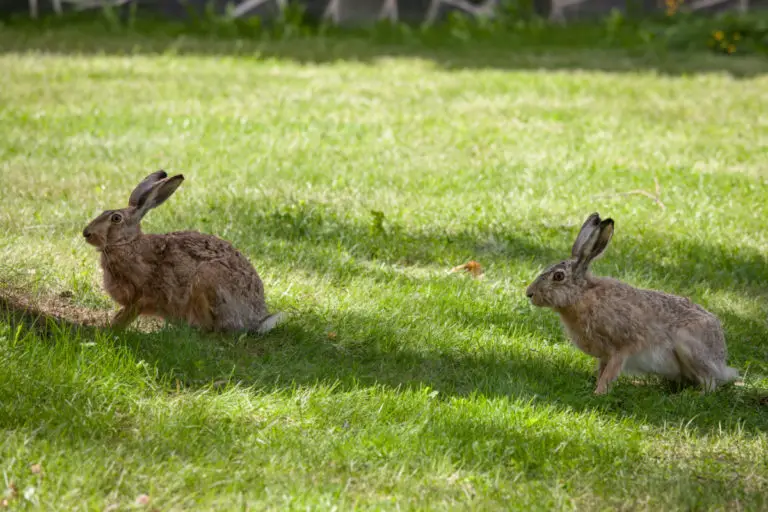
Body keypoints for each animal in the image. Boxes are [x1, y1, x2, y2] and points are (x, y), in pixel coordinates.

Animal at [82, 170, 284, 334]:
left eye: (116, 218)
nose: (86, 233)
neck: (128, 243)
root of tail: (254, 320)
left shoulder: (143, 295)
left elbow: (128, 314)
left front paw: (110, 329)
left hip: (207, 280)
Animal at [525, 212, 739, 395]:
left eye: (558, 276)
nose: (529, 293)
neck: (582, 295)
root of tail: (721, 360)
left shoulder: (622, 347)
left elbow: (610, 373)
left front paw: (598, 393)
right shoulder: (604, 355)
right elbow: (602, 371)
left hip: (690, 347)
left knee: (709, 383)